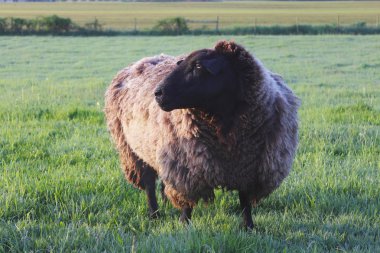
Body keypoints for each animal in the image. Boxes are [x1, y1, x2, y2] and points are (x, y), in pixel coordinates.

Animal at [104, 40, 300, 228]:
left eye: (198, 66)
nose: (158, 93)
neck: (226, 130)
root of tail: (146, 59)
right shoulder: (187, 168)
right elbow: (187, 203)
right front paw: (184, 225)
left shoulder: (250, 168)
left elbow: (245, 201)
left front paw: (248, 227)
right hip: (133, 151)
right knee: (149, 185)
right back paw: (154, 214)